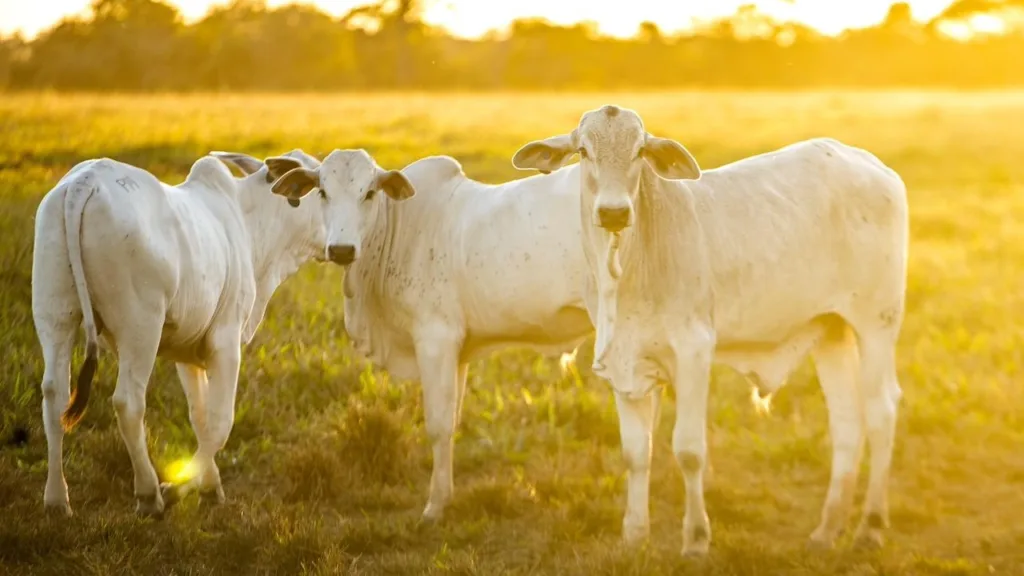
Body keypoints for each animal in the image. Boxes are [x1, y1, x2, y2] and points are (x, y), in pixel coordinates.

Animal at [33, 147, 415, 516]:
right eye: (321, 190)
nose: (341, 248)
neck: (248, 223)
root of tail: (84, 182)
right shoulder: (225, 341)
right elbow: (219, 423)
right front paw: (177, 489)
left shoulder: (185, 350)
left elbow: (200, 419)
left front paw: (208, 485)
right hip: (140, 327)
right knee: (128, 402)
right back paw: (148, 494)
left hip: (55, 314)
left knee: (54, 394)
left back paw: (56, 499)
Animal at [268, 152, 598, 520]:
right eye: (323, 191)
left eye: (369, 192)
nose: (341, 249)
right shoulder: (459, 352)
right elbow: (452, 421)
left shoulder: (435, 340)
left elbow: (438, 425)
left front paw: (435, 505)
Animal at [516, 105, 909, 553]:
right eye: (583, 150)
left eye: (639, 151)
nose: (614, 213)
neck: (629, 269)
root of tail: (868, 163)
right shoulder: (622, 363)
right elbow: (636, 453)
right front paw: (634, 535)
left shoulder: (694, 352)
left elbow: (689, 451)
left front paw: (696, 539)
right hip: (831, 330)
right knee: (846, 423)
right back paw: (827, 530)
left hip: (877, 323)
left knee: (881, 412)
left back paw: (871, 525)